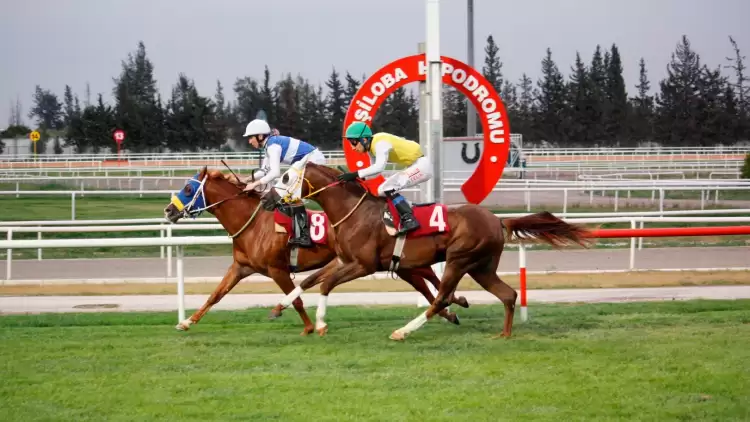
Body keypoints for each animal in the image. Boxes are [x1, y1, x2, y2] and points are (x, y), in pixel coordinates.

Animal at [163, 166, 470, 334]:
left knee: (429, 281)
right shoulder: (241, 267)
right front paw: (187, 322)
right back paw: (452, 309)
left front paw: (310, 326)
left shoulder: (277, 269)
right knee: (426, 283)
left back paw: (453, 304)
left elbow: (297, 299)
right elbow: (215, 295)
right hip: (397, 263)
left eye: (188, 189)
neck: (253, 222)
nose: (168, 210)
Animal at [262, 160, 592, 342]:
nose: (266, 200)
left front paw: (320, 324)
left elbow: (327, 284)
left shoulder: (365, 264)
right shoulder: (345, 259)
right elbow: (310, 280)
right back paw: (504, 334)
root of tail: (497, 219)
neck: (352, 212)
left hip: (460, 259)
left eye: (286, 178)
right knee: (508, 294)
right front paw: (278, 307)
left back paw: (402, 331)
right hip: (482, 267)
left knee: (441, 297)